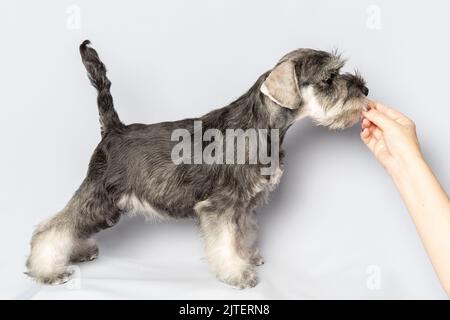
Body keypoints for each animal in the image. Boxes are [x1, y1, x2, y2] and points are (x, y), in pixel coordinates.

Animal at [25, 39, 370, 288]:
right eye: (329, 78)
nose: (364, 89)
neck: (261, 126)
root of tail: (113, 129)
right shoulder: (220, 207)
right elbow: (226, 242)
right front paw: (237, 274)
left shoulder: (243, 206)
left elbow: (242, 234)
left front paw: (247, 257)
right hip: (102, 196)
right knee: (54, 227)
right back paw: (47, 269)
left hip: (108, 206)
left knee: (70, 225)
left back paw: (78, 251)